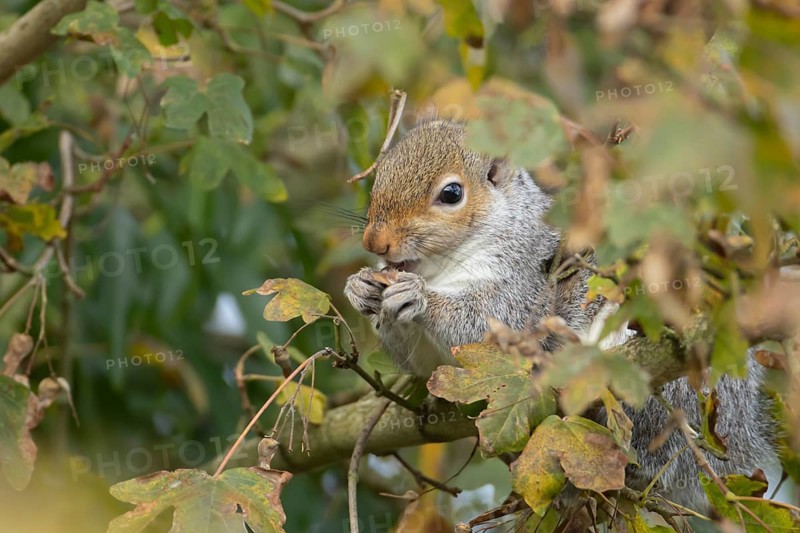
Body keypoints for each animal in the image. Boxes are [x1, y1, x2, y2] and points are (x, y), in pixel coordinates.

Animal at [343, 119, 778, 511]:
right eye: (379, 175)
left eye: (451, 193)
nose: (374, 242)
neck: (441, 267)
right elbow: (422, 360)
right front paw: (360, 288)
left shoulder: (525, 288)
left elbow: (486, 323)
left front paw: (418, 297)